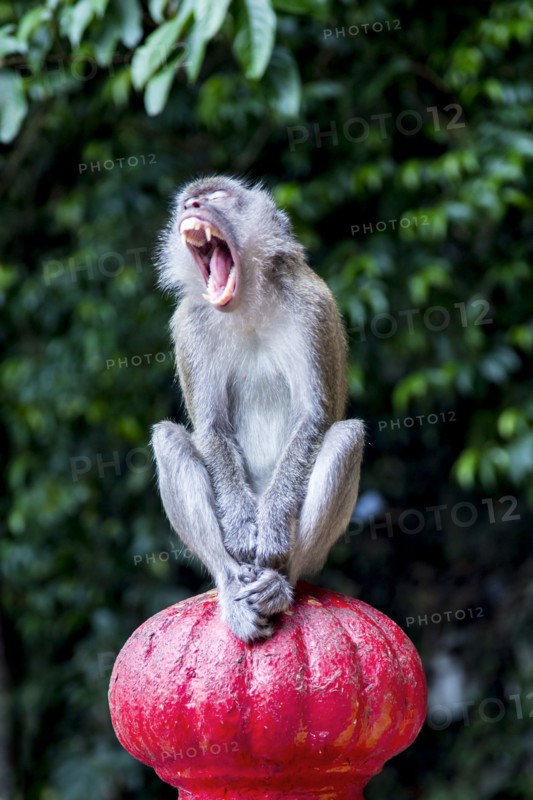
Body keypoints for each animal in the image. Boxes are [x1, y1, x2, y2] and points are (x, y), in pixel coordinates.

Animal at [151, 175, 364, 643]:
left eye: (216, 198)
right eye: (188, 201)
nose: (192, 206)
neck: (247, 302)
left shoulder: (311, 307)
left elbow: (315, 419)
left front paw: (270, 533)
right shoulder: (190, 323)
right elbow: (211, 427)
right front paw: (240, 528)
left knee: (345, 436)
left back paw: (280, 582)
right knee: (168, 437)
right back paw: (231, 584)